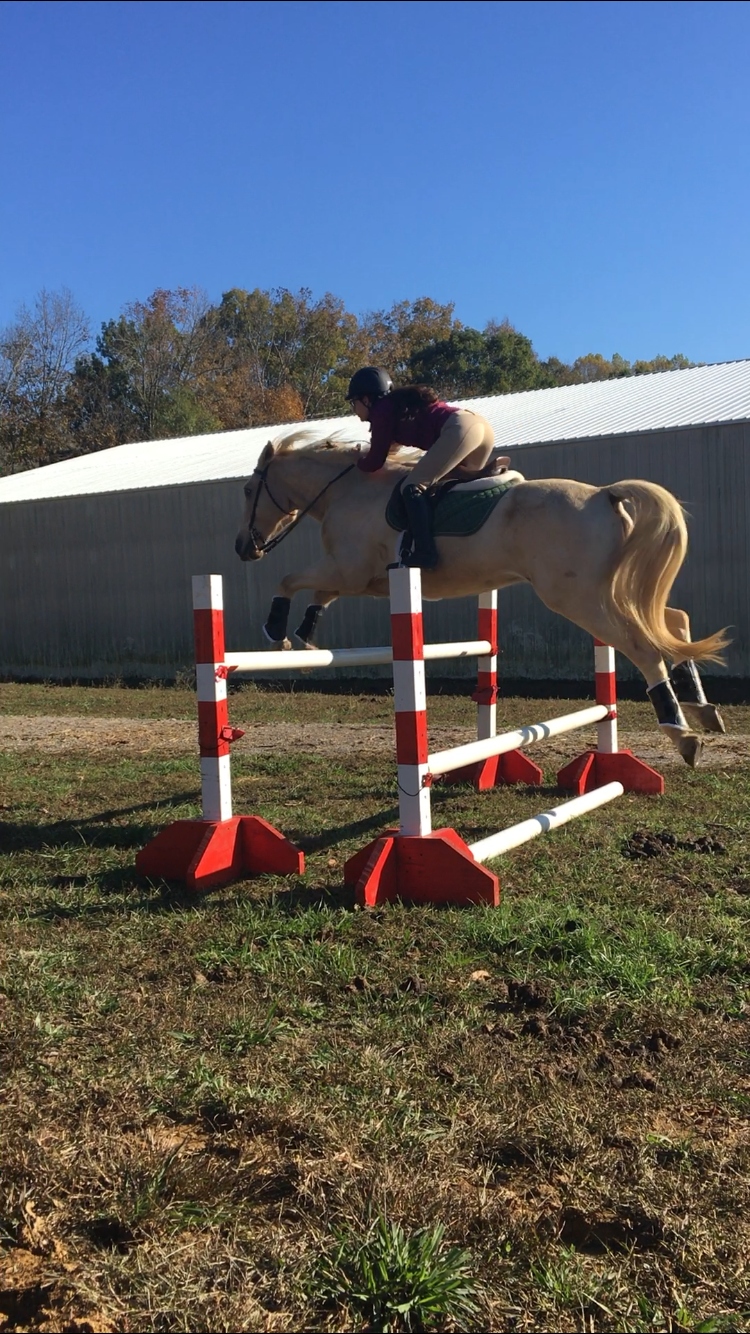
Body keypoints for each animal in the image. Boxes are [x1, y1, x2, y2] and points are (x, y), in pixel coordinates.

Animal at [233, 426, 725, 763]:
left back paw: (682, 733)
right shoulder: (360, 579)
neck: (347, 492)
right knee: (674, 621)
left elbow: (289, 581)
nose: (243, 548)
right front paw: (304, 640)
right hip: (608, 591)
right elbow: (318, 593)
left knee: (644, 646)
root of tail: (605, 494)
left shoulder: (349, 569)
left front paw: (277, 635)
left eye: (248, 489)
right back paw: (703, 709)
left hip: (577, 598)